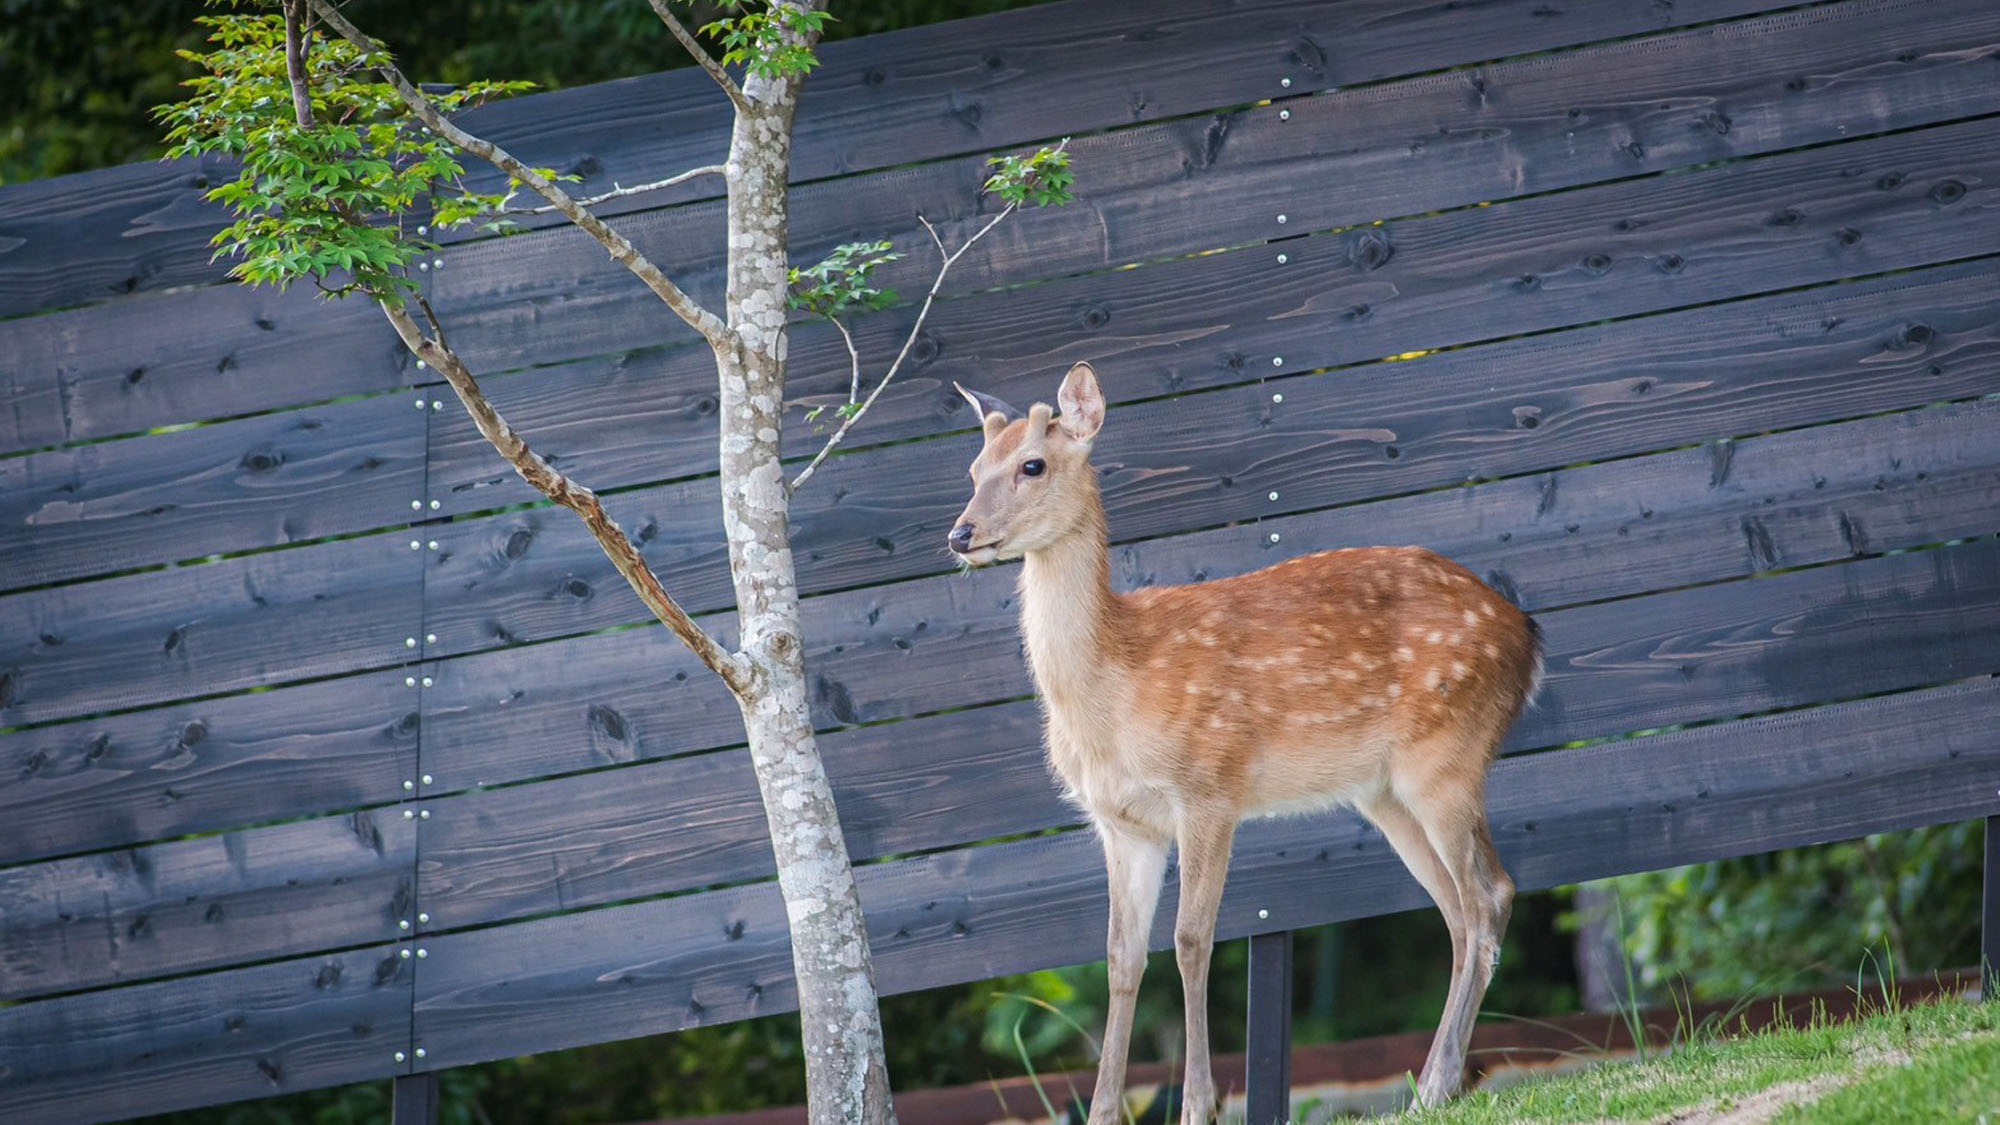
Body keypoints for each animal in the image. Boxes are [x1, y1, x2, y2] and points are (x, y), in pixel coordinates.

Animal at [947, 362, 1543, 1123]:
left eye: (1033, 464)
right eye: (973, 467)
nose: (961, 533)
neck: (1116, 686)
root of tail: (1527, 634)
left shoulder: (1209, 787)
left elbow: (1191, 940)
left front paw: (1198, 1104)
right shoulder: (1122, 823)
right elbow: (1120, 955)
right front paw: (1105, 1110)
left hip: (1446, 757)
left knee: (1488, 895)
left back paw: (1436, 1083)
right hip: (1386, 791)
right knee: (1460, 910)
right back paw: (1431, 1086)